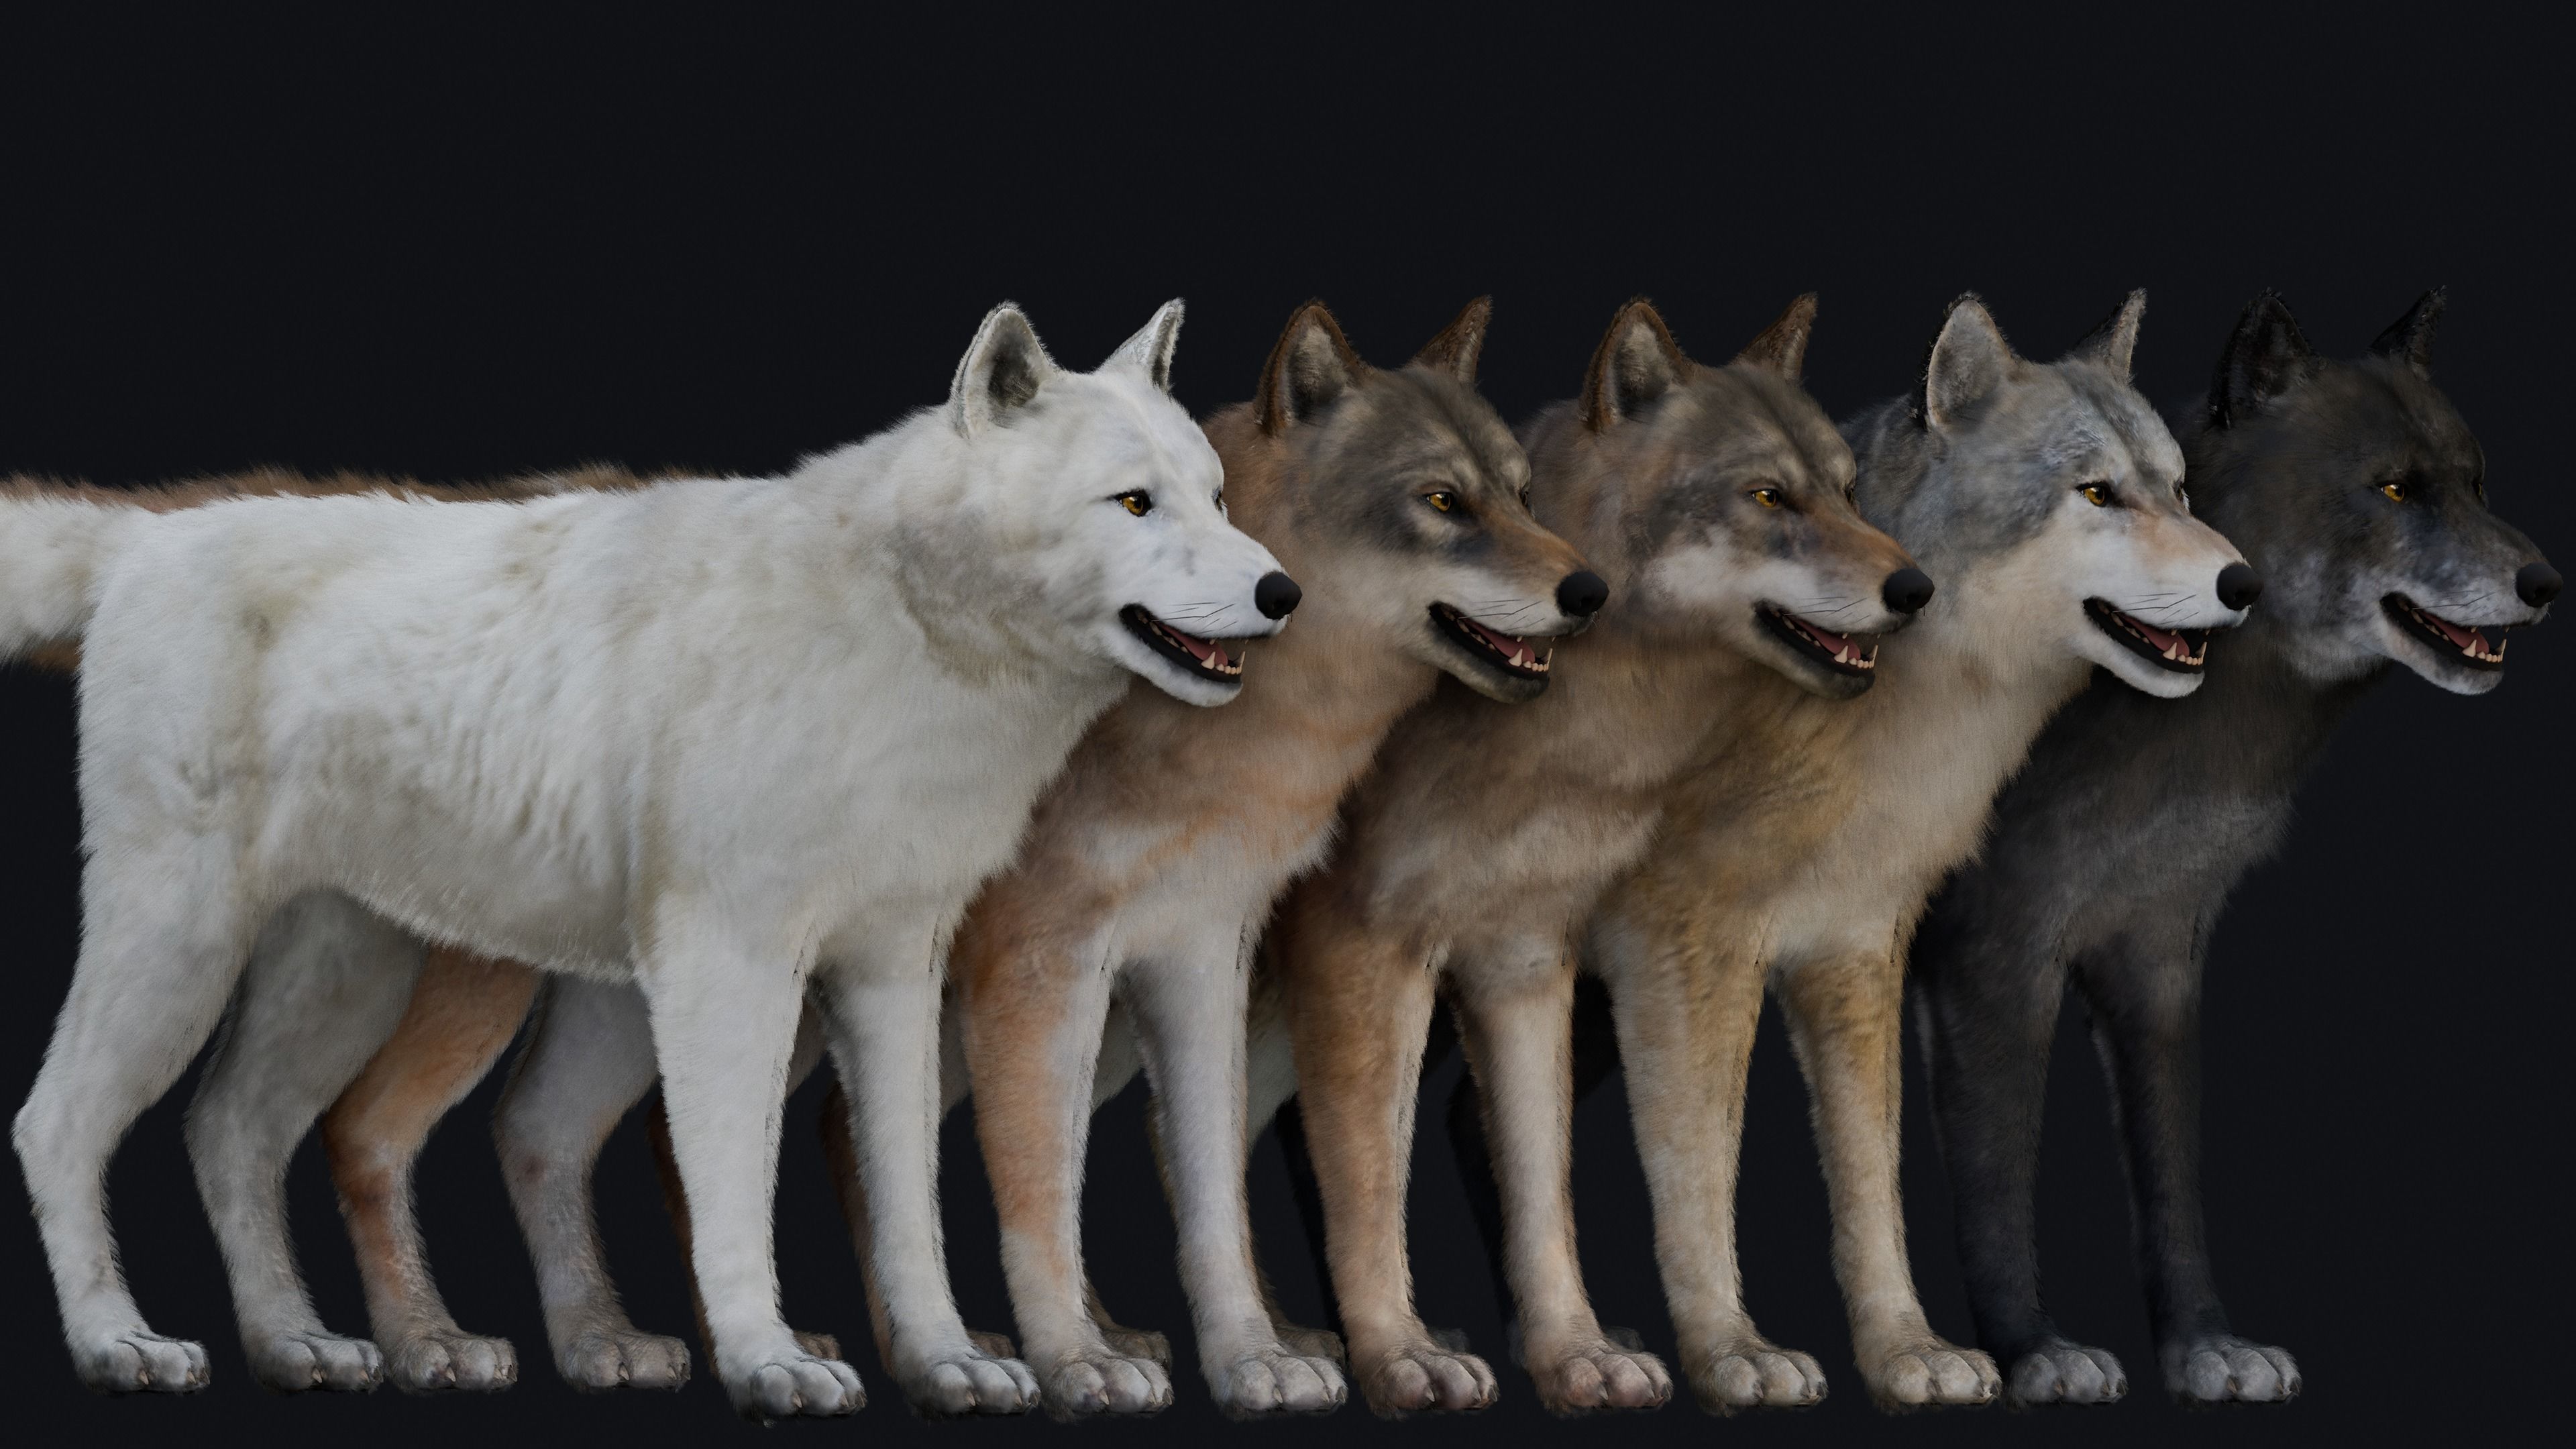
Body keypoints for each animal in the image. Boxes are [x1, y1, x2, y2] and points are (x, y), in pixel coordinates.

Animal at [5, 300, 1296, 1420]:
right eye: (1132, 503)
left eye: (1217, 496)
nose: (1281, 590)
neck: (901, 638)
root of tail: (146, 537)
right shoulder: (733, 965)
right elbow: (731, 1189)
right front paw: (771, 1364)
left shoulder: (892, 968)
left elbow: (906, 1202)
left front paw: (945, 1366)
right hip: (180, 950)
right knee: (54, 1123)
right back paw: (118, 1343)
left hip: (338, 979)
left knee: (227, 1130)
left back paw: (296, 1345)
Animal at [1261, 297, 1927, 1417]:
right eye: (1768, 495)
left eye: (1846, 490)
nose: (1915, 585)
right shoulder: (1362, 953)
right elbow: (1367, 1177)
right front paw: (1401, 1359)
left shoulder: (1530, 957)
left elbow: (1545, 1186)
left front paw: (1576, 1353)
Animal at [1560, 292, 2256, 1414]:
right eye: (2097, 493)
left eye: (2180, 488)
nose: (2245, 581)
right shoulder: (1693, 962)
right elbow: (1700, 1178)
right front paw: (1735, 1353)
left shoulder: (1856, 953)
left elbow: (1874, 1185)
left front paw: (1906, 1351)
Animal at [1907, 290, 2556, 1407]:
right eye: (2396, 487)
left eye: (2477, 482)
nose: (2546, 581)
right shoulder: (1993, 961)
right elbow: (1997, 1178)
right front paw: (2033, 1350)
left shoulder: (2161, 960)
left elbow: (2171, 1177)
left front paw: (2206, 1347)